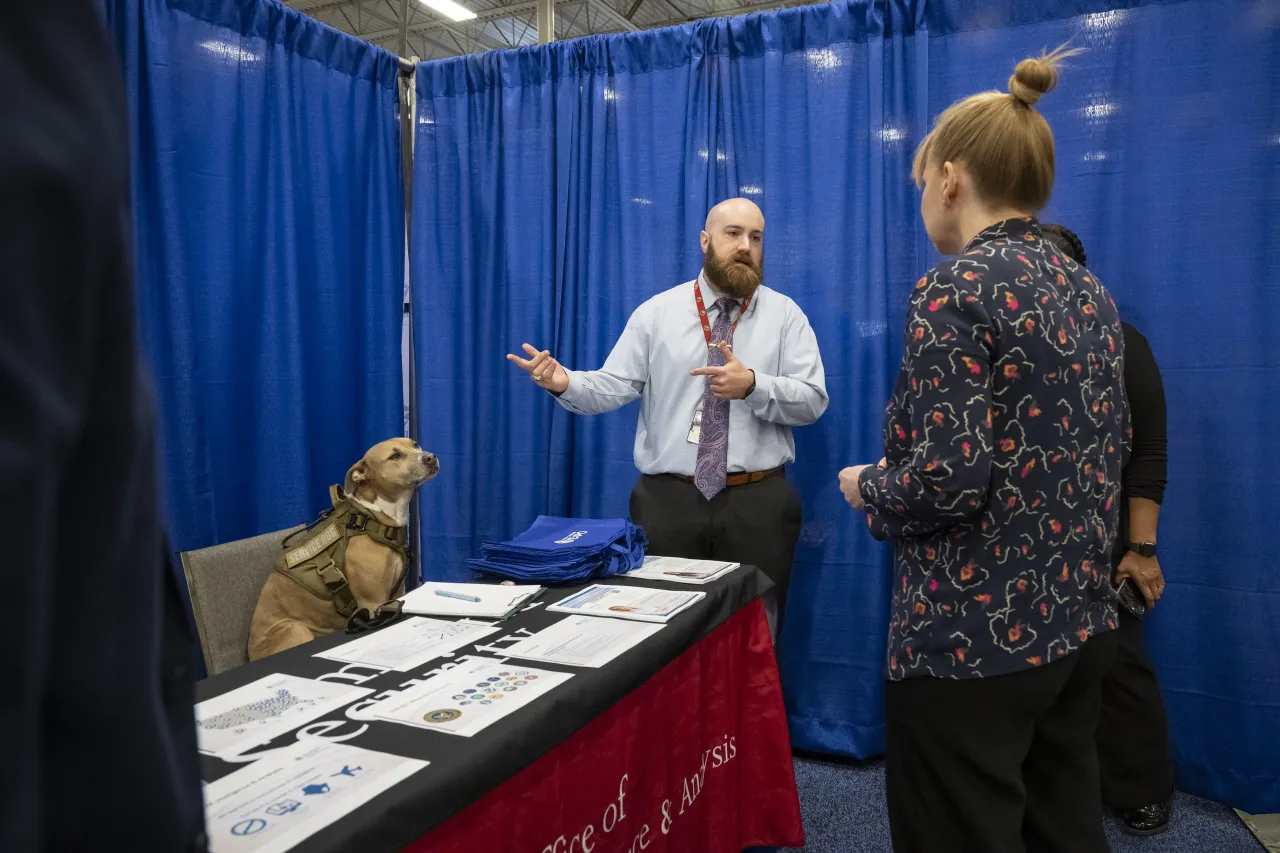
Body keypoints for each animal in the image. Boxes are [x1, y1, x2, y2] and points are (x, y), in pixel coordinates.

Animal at [248, 435, 440, 660]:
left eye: (415, 445)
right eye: (394, 456)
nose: (430, 457)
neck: (371, 516)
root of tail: (251, 653)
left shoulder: (397, 593)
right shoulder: (373, 602)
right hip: (295, 628)